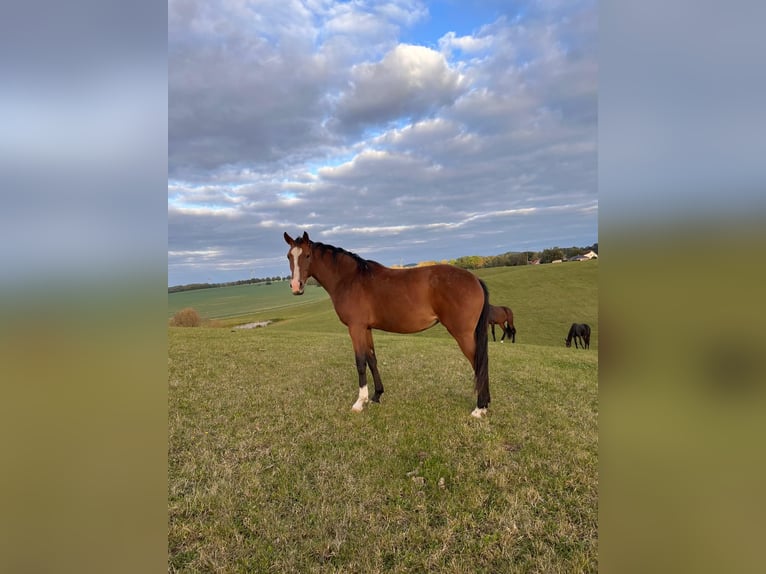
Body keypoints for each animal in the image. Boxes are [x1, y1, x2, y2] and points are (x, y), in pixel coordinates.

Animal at [284, 231, 492, 418]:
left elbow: (360, 362)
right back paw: (485, 404)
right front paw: (376, 396)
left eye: (307, 255)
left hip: (463, 334)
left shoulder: (355, 328)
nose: (296, 286)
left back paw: (479, 408)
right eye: (289, 256)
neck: (349, 279)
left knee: (478, 364)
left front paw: (359, 403)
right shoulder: (366, 328)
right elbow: (372, 360)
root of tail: (475, 279)